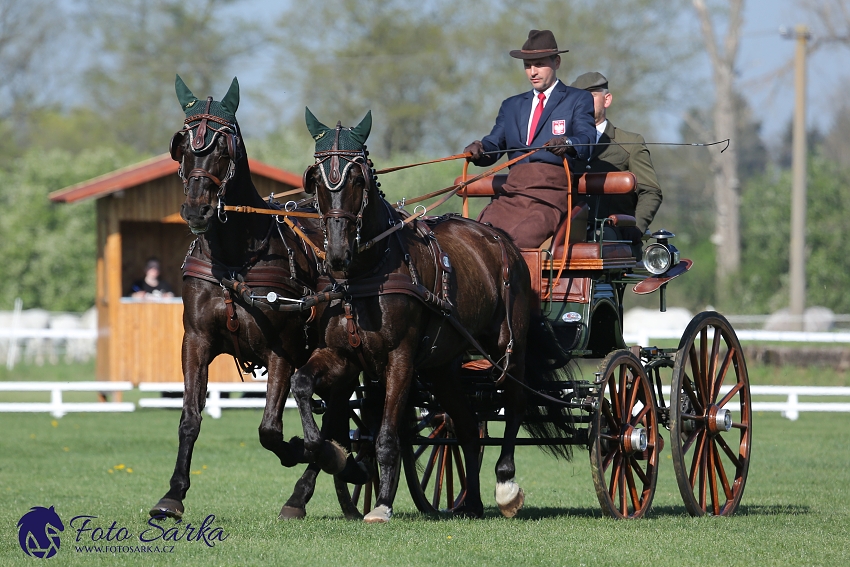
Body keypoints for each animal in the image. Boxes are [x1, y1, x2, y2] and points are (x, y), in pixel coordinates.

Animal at [149, 77, 354, 520]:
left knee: (336, 419)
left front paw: (306, 449)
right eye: (184, 146)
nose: (196, 210)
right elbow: (189, 418)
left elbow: (271, 431)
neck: (235, 259)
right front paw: (173, 495)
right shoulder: (196, 341)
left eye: (223, 148)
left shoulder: (282, 348)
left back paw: (311, 484)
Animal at [288, 111, 572, 524]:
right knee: (466, 426)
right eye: (318, 179)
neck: (367, 273)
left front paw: (382, 504)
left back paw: (505, 485)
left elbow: (387, 434)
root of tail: (503, 240)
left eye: (357, 179)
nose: (338, 254)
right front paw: (326, 457)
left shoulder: (400, 360)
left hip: (509, 347)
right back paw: (471, 502)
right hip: (443, 368)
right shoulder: (343, 356)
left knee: (515, 403)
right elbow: (304, 388)